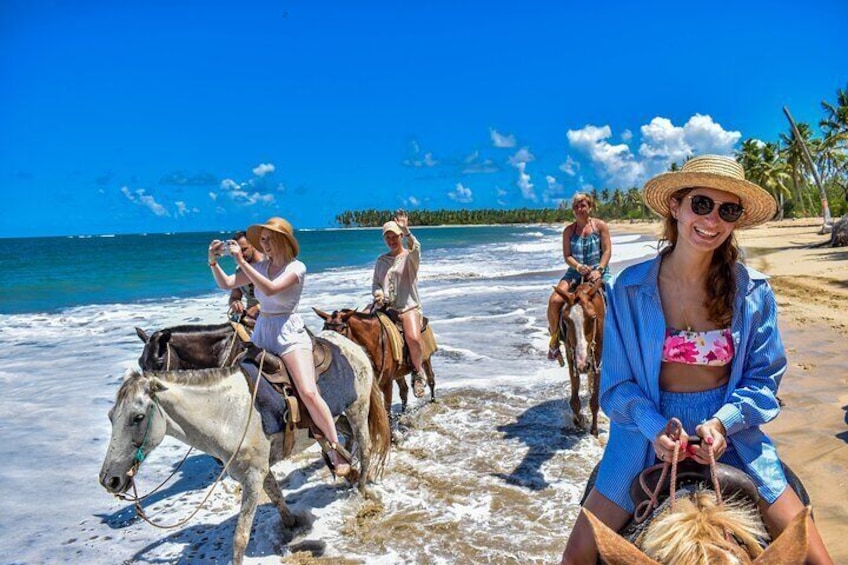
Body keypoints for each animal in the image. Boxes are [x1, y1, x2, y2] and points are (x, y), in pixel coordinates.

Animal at [99, 330, 390, 564]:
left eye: (138, 417)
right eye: (111, 416)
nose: (109, 480)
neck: (227, 413)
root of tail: (350, 344)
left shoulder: (251, 476)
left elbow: (240, 535)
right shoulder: (256, 469)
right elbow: (275, 495)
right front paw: (291, 524)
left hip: (358, 409)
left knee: (365, 447)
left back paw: (360, 488)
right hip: (339, 416)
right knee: (342, 441)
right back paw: (345, 469)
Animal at [552, 278, 608, 436]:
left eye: (593, 318)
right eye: (565, 320)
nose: (584, 364)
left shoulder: (598, 363)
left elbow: (594, 401)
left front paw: (594, 430)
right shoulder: (572, 359)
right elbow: (575, 401)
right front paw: (579, 421)